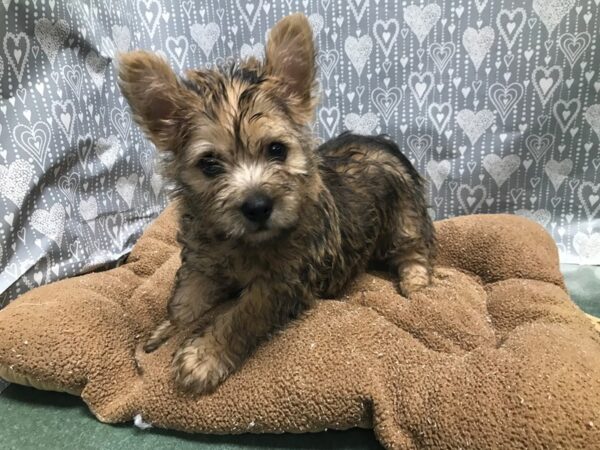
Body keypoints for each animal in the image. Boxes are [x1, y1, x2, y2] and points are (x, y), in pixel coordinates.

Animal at [118, 13, 436, 394]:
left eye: (276, 150)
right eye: (209, 165)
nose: (257, 206)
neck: (243, 244)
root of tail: (382, 142)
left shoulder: (281, 283)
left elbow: (241, 316)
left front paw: (204, 357)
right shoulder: (203, 265)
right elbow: (185, 301)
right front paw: (167, 331)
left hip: (405, 217)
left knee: (414, 251)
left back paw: (415, 284)